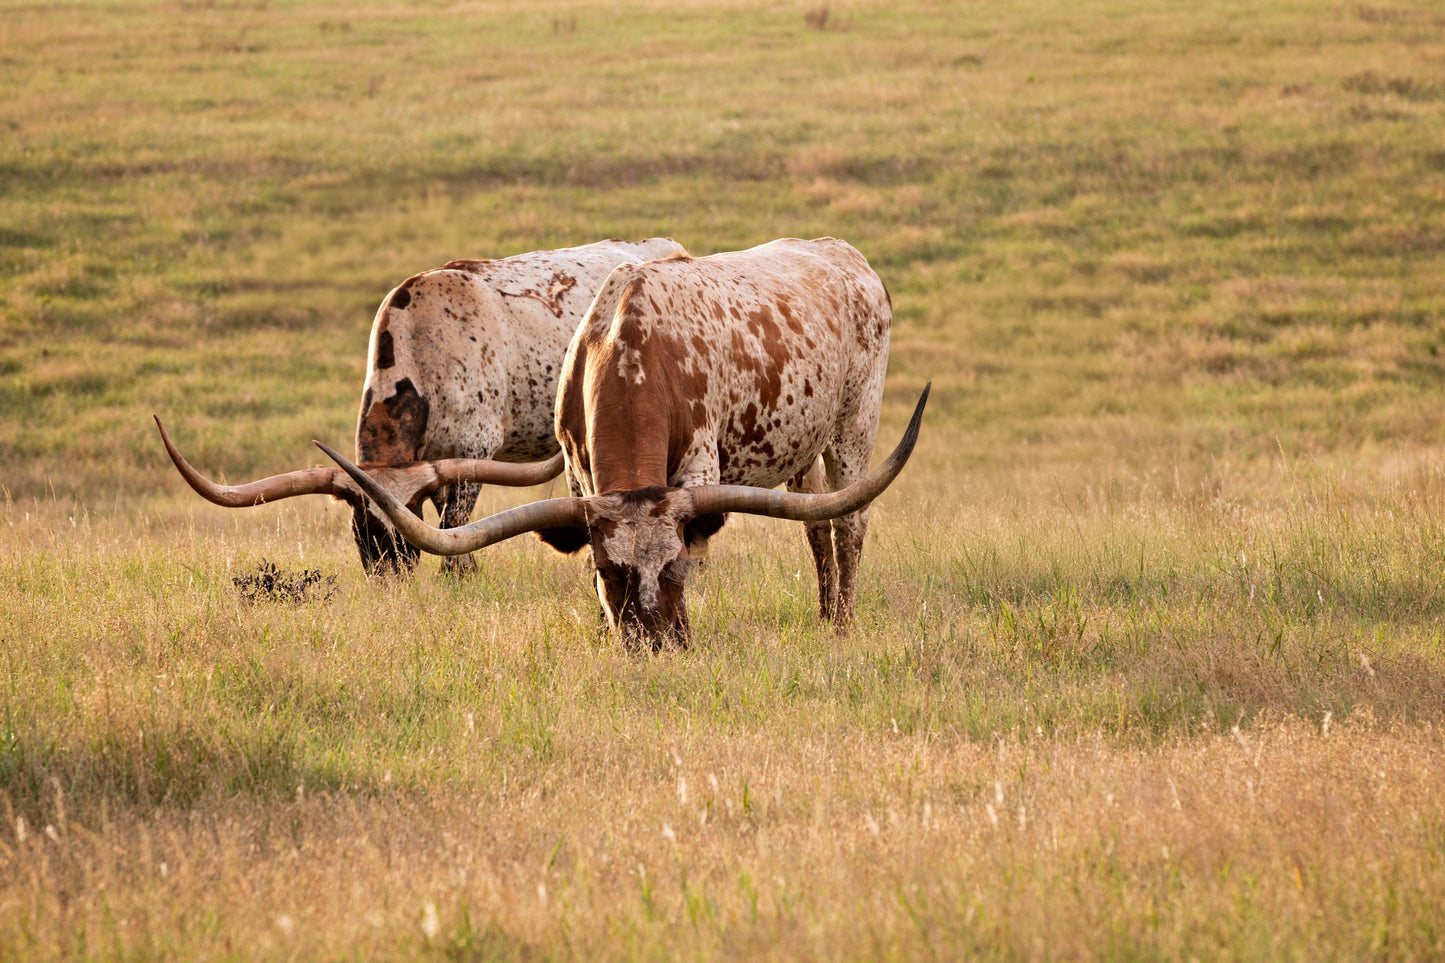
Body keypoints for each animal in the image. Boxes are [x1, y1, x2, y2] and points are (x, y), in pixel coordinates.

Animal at [155, 237, 684, 572]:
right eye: (362, 522)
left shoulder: (474, 451)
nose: (389, 573)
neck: (426, 347)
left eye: (401, 518)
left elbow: (456, 527)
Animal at [319, 235, 924, 647]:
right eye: (360, 532)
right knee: (816, 519)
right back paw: (823, 616)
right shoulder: (575, 469)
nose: (653, 645)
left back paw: (842, 623)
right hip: (802, 443)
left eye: (674, 568)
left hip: (854, 425)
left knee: (850, 520)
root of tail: (842, 252)